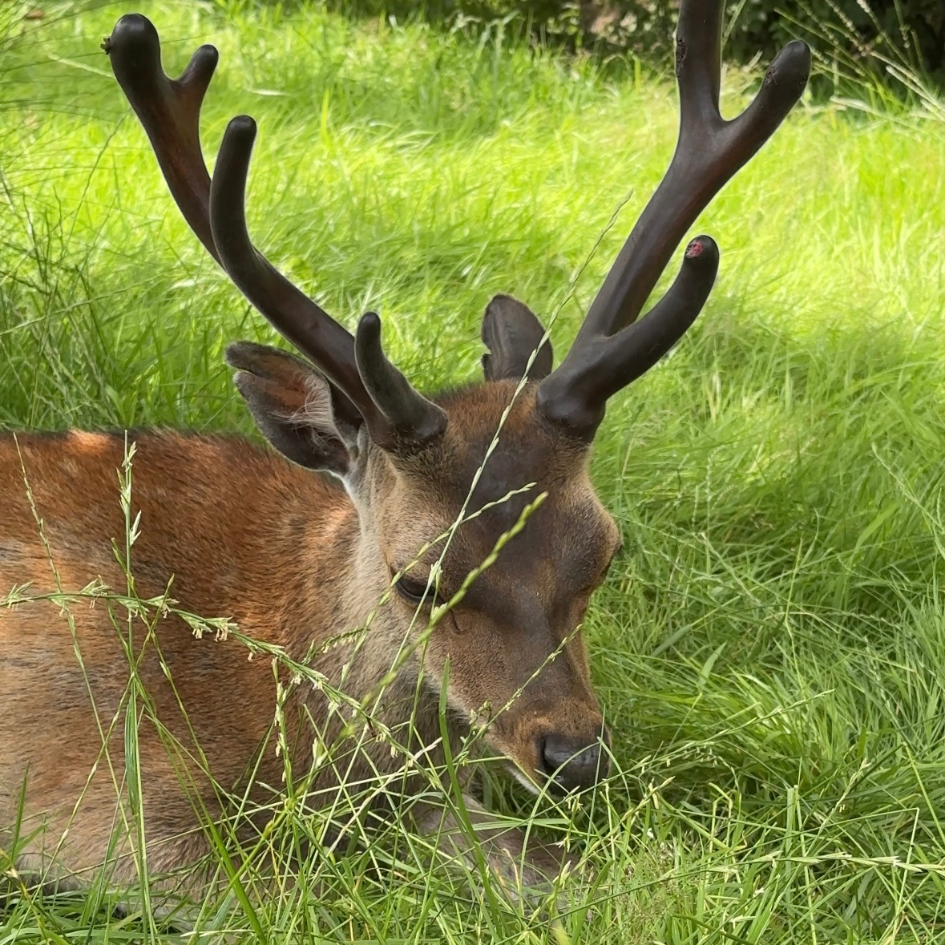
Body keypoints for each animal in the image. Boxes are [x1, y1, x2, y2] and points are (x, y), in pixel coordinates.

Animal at [0, 0, 809, 913]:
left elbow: (581, 871)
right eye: (417, 579)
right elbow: (295, 902)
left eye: (604, 553)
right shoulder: (96, 798)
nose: (573, 757)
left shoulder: (436, 794)